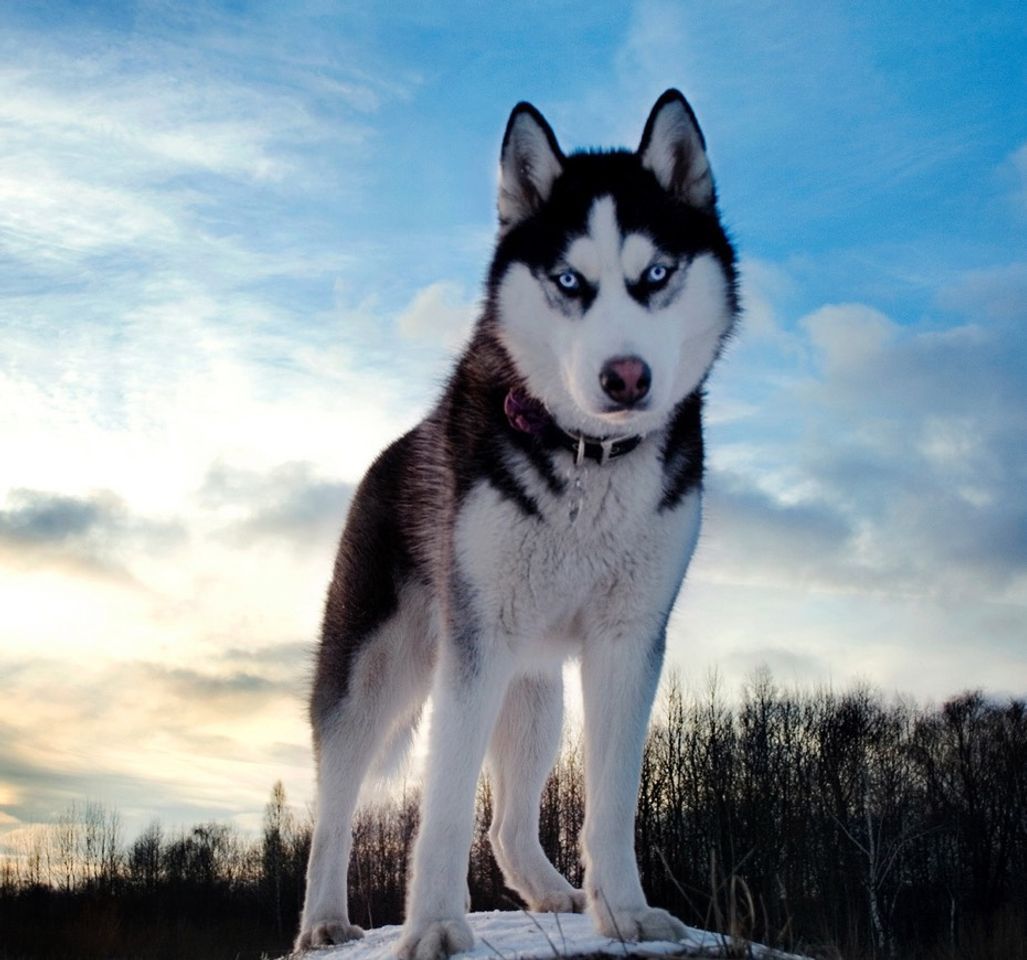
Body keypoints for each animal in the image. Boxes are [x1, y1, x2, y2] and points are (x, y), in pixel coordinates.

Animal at [297, 91, 739, 960]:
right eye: (569, 280)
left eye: (656, 275)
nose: (625, 376)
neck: (587, 457)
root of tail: (388, 453)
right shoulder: (474, 647)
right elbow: (440, 807)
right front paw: (435, 925)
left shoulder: (628, 641)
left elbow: (611, 801)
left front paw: (625, 913)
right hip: (375, 675)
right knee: (334, 806)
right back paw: (324, 920)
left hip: (534, 694)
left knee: (505, 823)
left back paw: (550, 892)